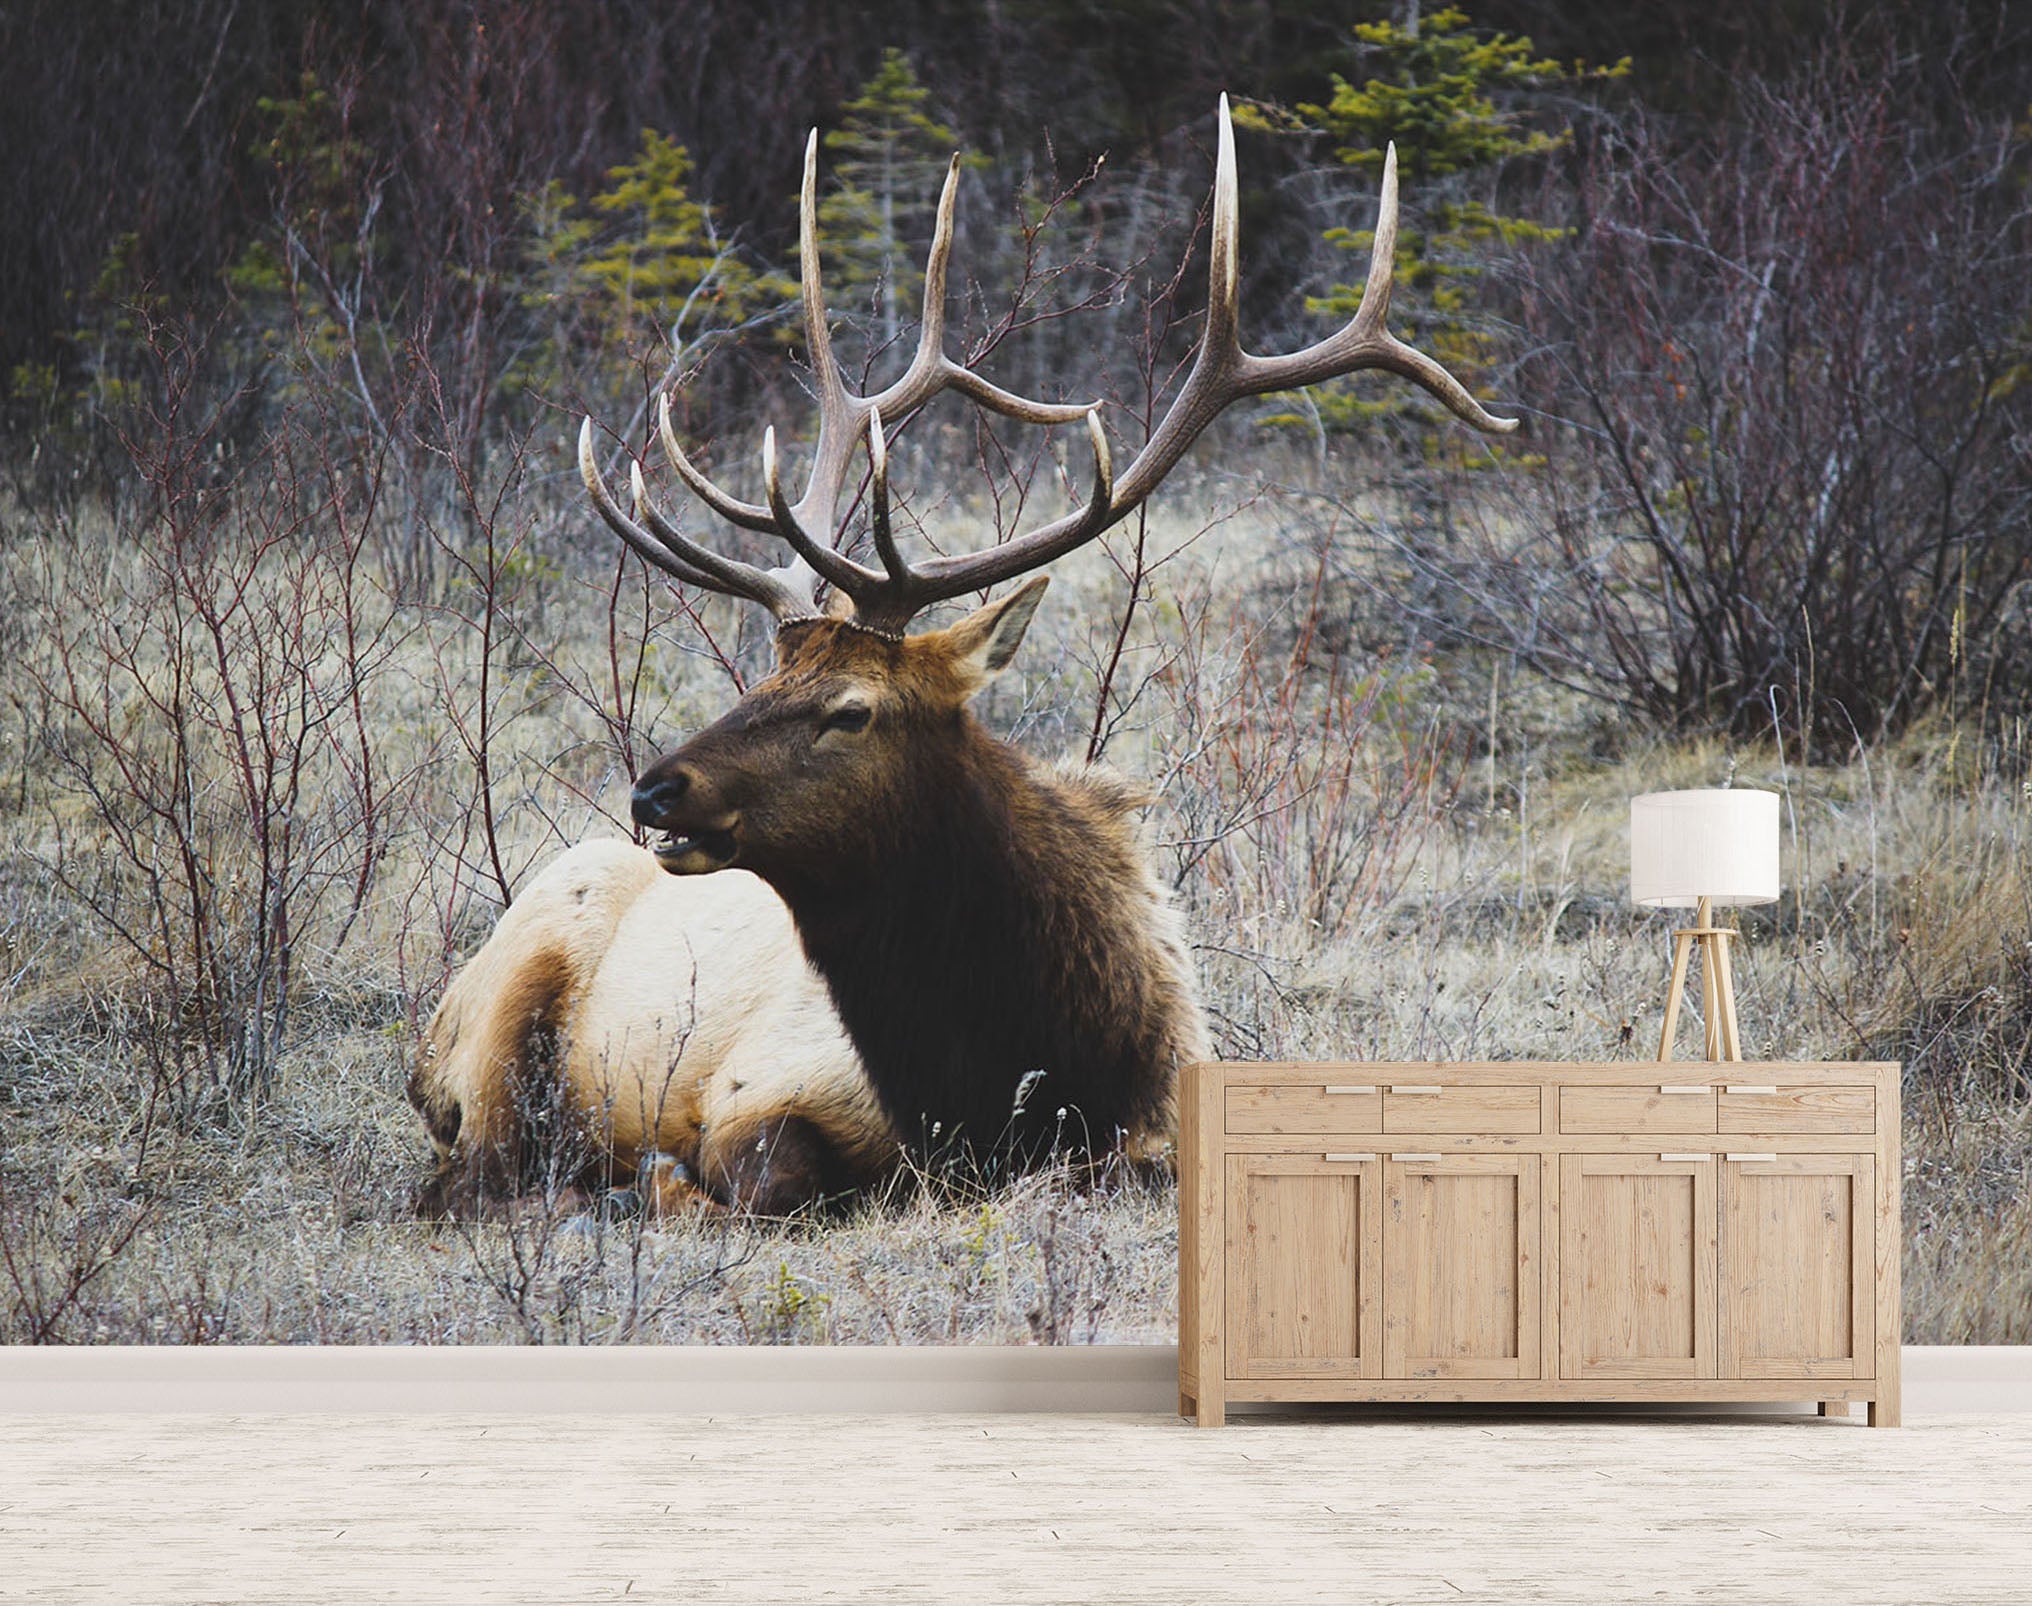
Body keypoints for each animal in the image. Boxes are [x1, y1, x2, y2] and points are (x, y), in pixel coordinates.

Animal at [411, 97, 1515, 1216]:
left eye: (850, 708)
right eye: (765, 678)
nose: (656, 790)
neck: (1005, 1078)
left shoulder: (1157, 1119)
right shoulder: (755, 1086)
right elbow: (756, 1175)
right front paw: (657, 1177)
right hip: (501, 1018)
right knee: (469, 1174)